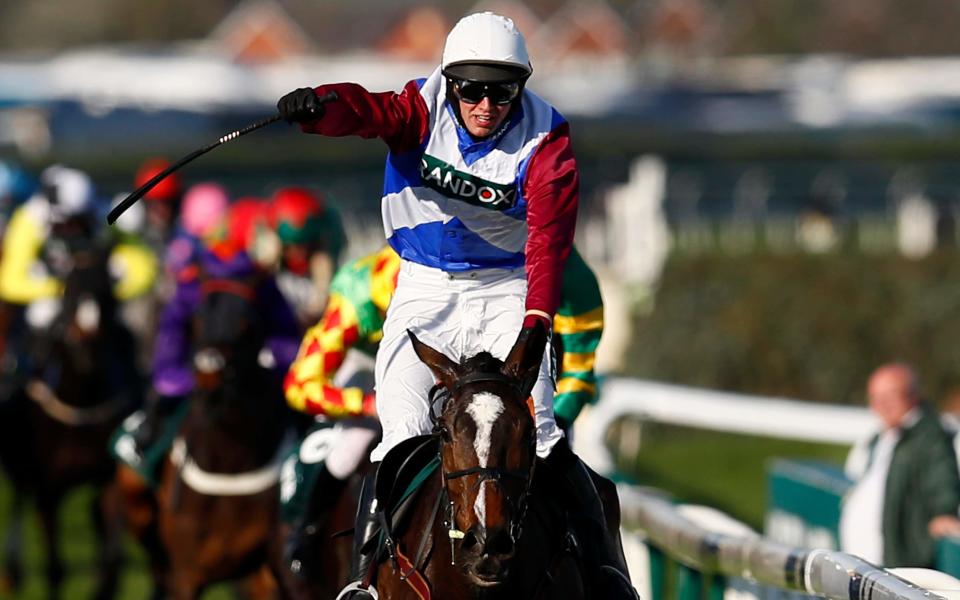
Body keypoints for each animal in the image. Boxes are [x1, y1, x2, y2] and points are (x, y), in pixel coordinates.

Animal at [0, 245, 142, 600]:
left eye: (107, 291)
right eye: (69, 290)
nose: (87, 342)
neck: (81, 405)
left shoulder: (108, 479)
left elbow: (110, 564)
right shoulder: (47, 487)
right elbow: (55, 568)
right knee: (18, 495)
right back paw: (11, 571)